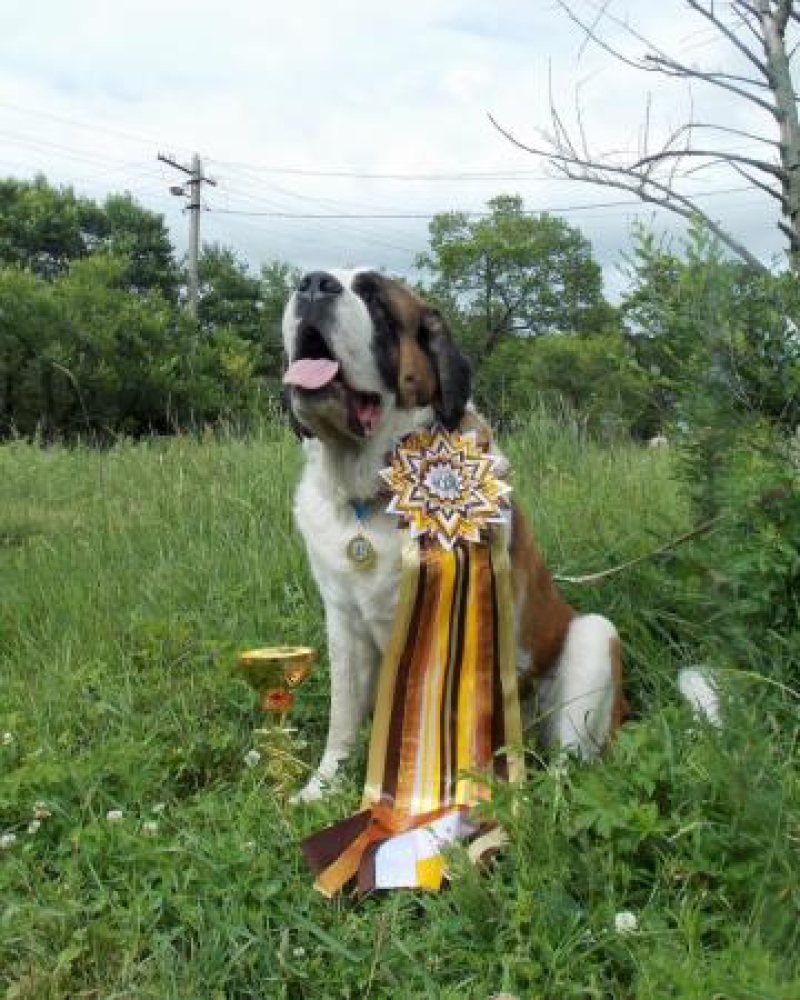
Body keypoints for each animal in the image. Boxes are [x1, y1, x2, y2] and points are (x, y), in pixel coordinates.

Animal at [282, 269, 626, 802]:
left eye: (375, 301)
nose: (315, 284)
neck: (375, 492)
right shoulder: (344, 623)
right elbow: (342, 717)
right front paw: (320, 788)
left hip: (592, 636)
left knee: (568, 763)